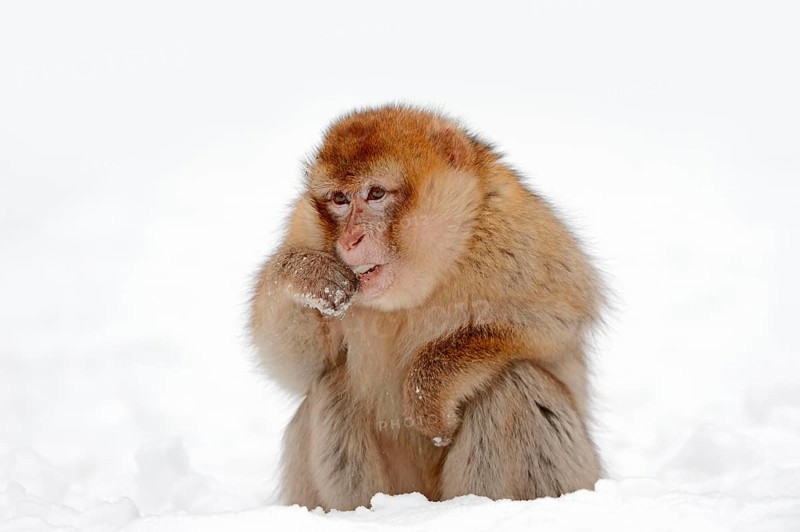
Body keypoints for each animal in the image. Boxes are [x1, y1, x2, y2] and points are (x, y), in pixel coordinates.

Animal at [249, 105, 604, 511]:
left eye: (375, 193)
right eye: (339, 199)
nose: (350, 240)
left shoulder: (518, 234)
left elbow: (554, 320)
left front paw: (429, 397)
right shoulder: (305, 227)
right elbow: (300, 367)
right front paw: (306, 274)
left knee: (512, 381)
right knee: (332, 384)